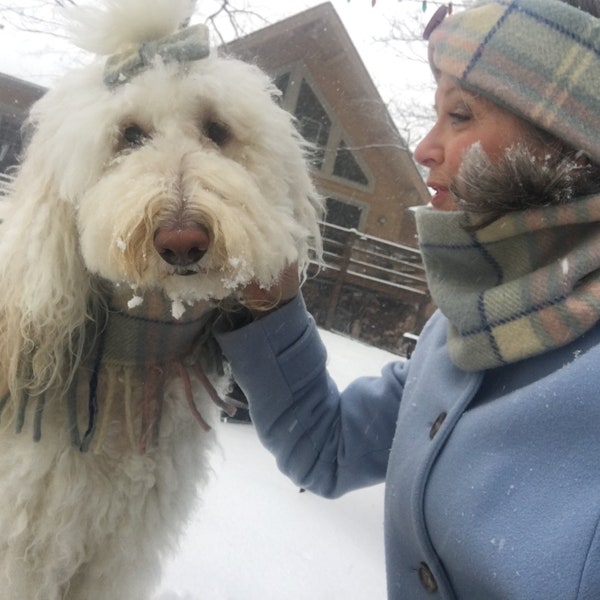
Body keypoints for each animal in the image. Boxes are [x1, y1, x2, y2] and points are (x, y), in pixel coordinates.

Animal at [0, 1, 324, 600]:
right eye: (129, 134)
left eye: (217, 129)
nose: (181, 241)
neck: (126, 359)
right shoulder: (22, 546)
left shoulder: (114, 557)